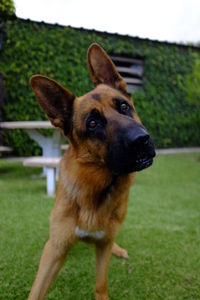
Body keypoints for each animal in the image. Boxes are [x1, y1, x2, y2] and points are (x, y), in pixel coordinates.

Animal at [27, 42, 156, 300]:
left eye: (124, 106)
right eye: (93, 124)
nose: (141, 140)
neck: (95, 190)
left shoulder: (102, 246)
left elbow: (100, 285)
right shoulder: (55, 249)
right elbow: (36, 292)